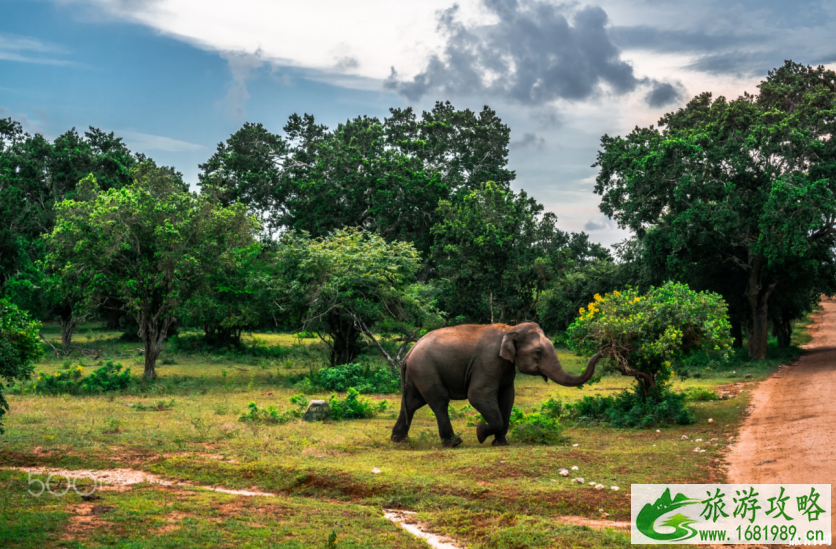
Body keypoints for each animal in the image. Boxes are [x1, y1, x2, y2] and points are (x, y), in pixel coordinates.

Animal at [388, 322, 596, 446]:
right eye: (538, 352)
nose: (599, 353)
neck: (510, 329)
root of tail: (409, 352)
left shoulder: (505, 367)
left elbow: (507, 397)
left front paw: (501, 443)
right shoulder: (488, 362)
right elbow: (477, 395)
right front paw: (480, 434)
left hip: (418, 374)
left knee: (412, 403)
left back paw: (399, 440)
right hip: (425, 370)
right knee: (439, 401)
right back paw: (454, 443)